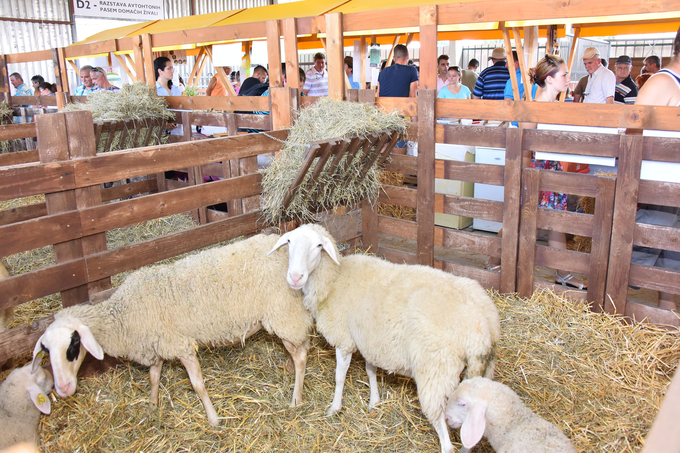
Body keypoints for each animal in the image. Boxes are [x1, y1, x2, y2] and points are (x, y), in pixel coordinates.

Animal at [33, 231, 314, 426]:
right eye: (46, 350)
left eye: (73, 343)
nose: (63, 389)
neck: (123, 315)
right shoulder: (157, 343)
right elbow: (154, 377)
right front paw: (151, 407)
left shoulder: (181, 345)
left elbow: (197, 385)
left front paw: (213, 419)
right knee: (300, 348)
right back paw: (289, 371)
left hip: (283, 314)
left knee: (301, 355)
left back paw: (296, 398)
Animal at [270, 222, 500, 452]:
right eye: (289, 241)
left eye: (318, 246)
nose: (295, 277)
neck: (334, 279)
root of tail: (482, 327)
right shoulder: (370, 340)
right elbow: (370, 370)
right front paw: (374, 401)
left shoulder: (344, 340)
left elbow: (339, 377)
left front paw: (335, 407)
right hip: (483, 372)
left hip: (436, 371)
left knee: (445, 439)